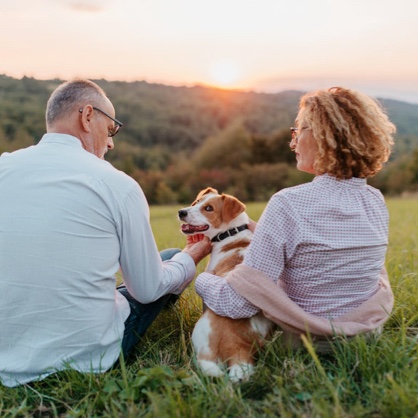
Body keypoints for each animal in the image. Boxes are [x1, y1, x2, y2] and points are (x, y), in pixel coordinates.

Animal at [177, 189, 272, 382]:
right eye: (196, 202)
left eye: (209, 208)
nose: (181, 212)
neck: (230, 232)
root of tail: (238, 347)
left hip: (200, 333)